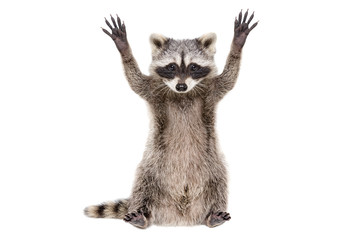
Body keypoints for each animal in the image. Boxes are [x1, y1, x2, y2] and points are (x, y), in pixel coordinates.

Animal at [85, 9, 258, 229]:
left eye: (193, 67)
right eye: (172, 67)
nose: (181, 86)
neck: (183, 95)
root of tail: (180, 217)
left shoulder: (212, 90)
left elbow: (229, 77)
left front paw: (237, 43)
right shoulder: (152, 91)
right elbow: (135, 81)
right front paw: (124, 48)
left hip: (212, 162)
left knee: (220, 181)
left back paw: (214, 215)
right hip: (153, 164)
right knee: (142, 183)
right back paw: (141, 216)